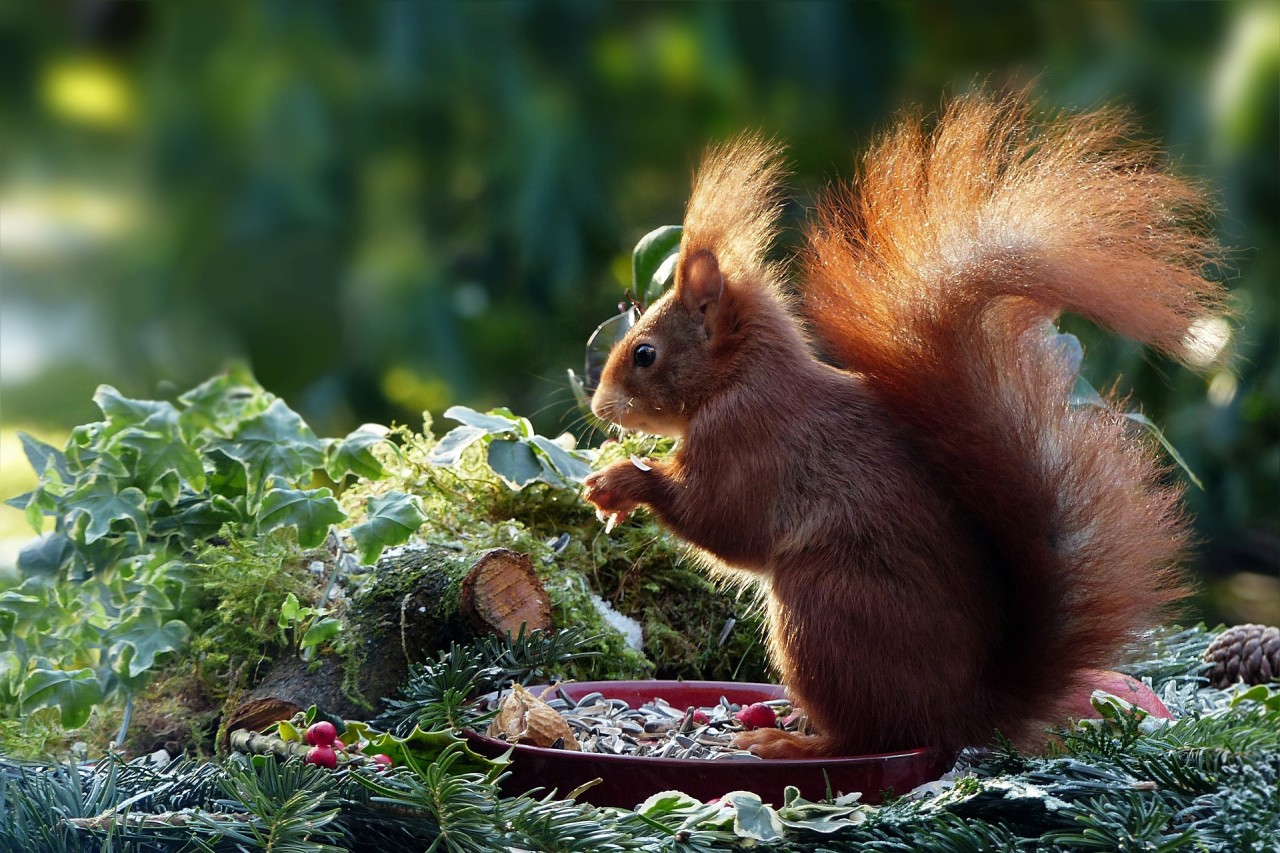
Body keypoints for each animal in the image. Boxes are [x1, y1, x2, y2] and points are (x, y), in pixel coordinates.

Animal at [582, 91, 1227, 759]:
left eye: (645, 354)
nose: (598, 408)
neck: (740, 378)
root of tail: (965, 712)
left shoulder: (747, 441)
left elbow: (720, 521)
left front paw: (621, 482)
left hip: (825, 609)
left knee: (868, 735)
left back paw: (792, 744)